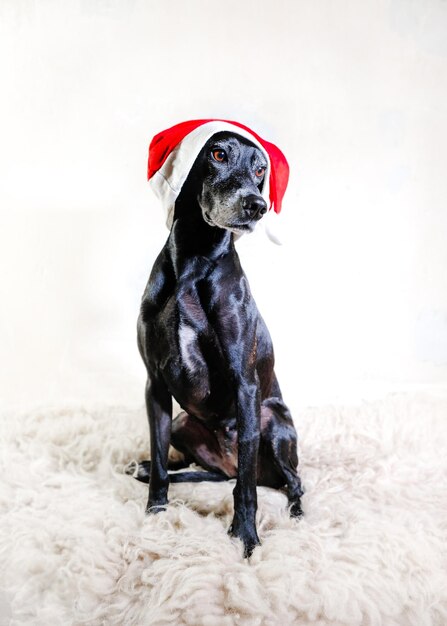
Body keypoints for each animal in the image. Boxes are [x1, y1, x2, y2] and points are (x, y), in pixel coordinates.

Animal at [136, 132, 304, 556]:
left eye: (261, 169)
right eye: (217, 153)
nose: (258, 205)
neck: (194, 263)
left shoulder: (245, 384)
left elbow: (245, 489)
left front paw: (245, 537)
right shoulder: (155, 384)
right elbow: (160, 460)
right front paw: (154, 513)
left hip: (273, 425)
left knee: (286, 481)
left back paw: (296, 516)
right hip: (183, 423)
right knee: (208, 473)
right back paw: (145, 470)